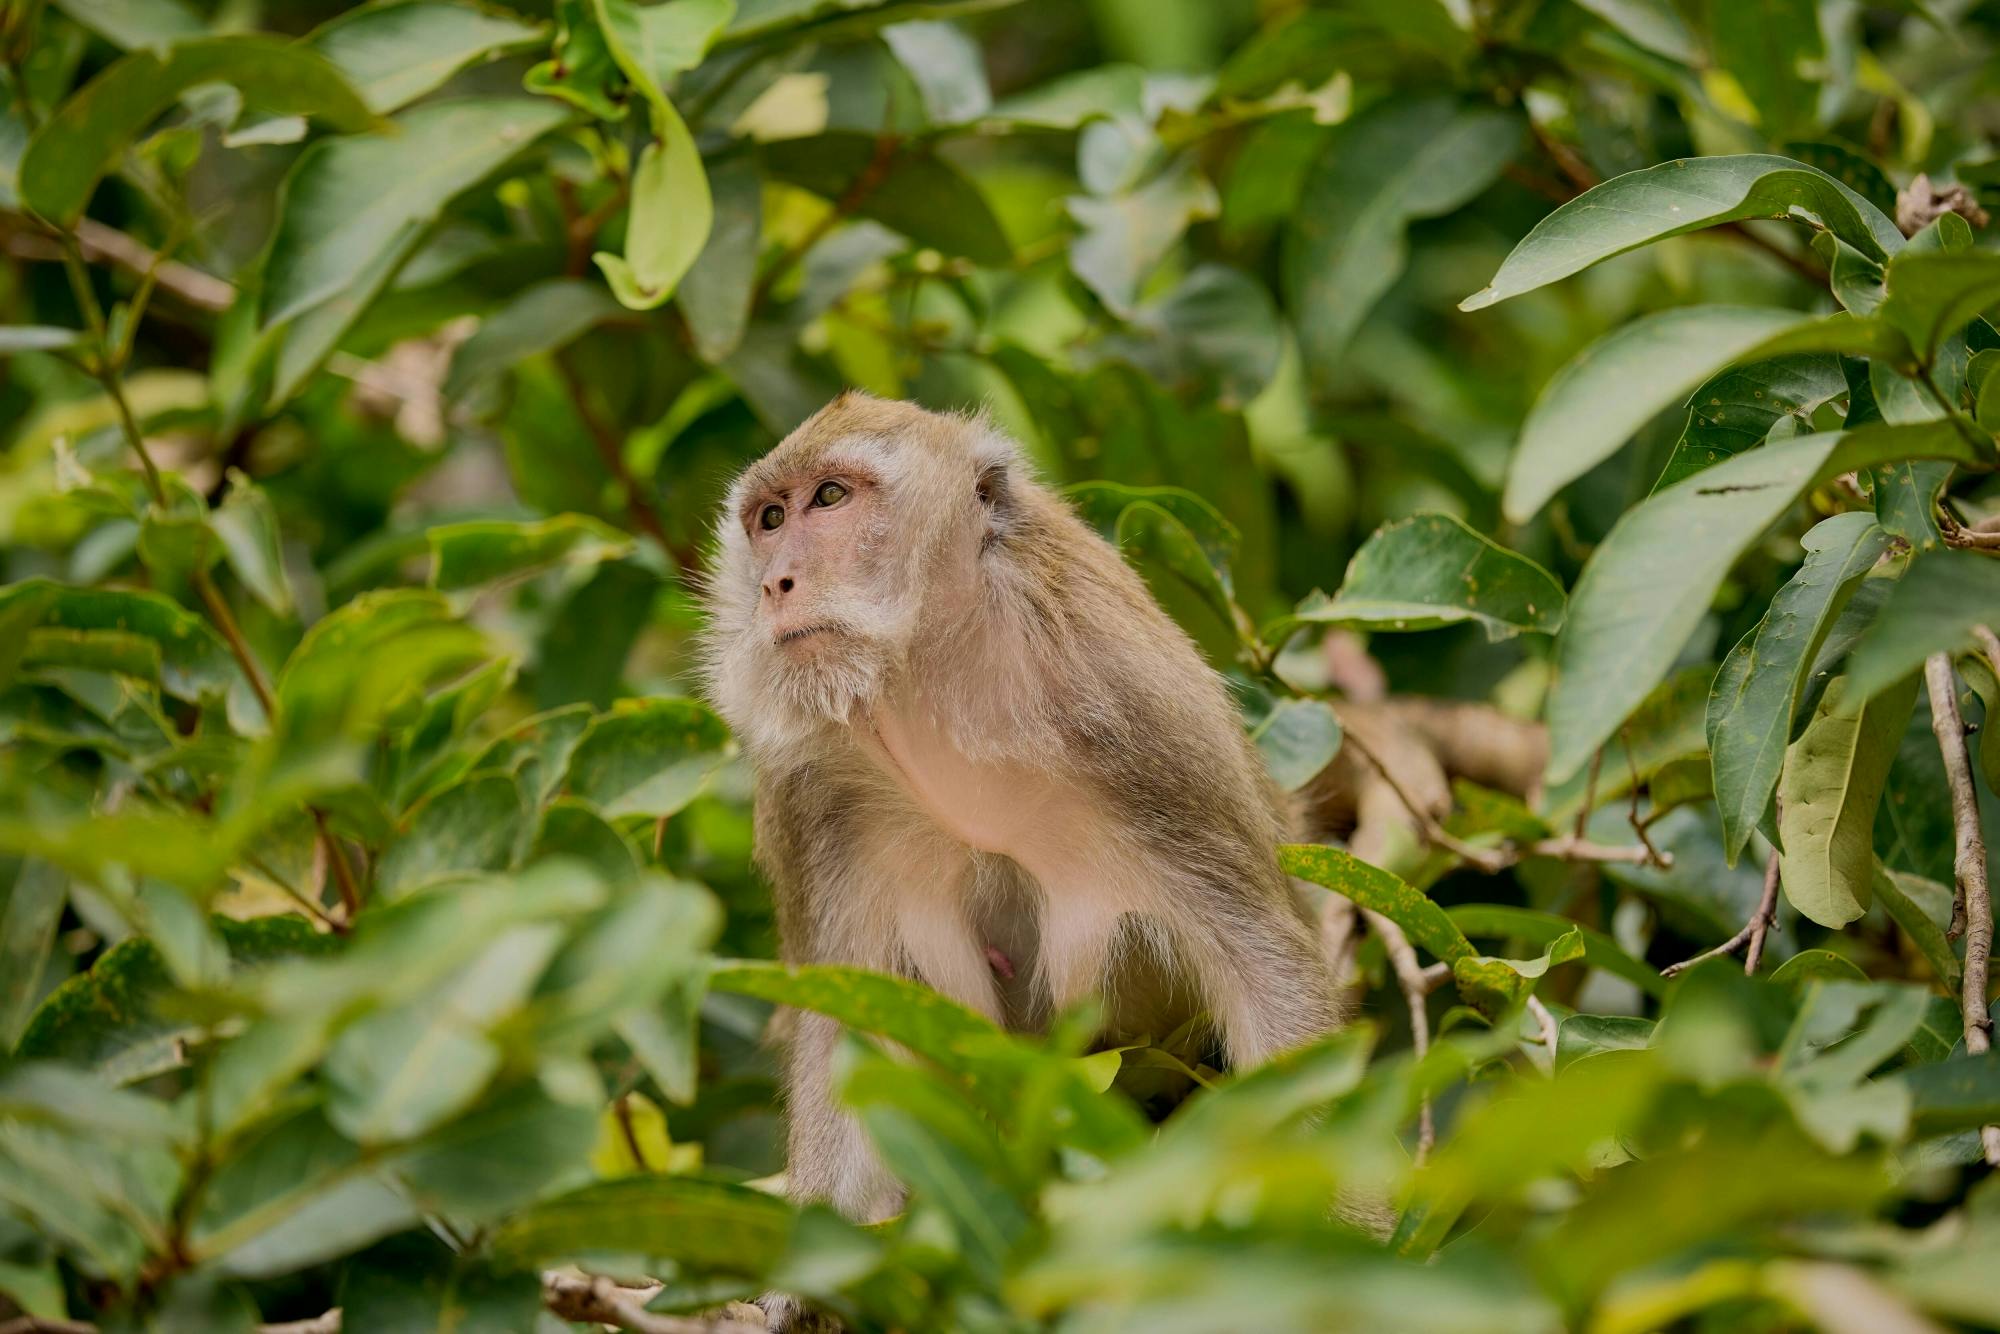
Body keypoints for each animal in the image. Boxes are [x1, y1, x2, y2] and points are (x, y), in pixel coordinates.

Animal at [704, 394, 1344, 1240]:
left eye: (831, 498)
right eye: (770, 518)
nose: (776, 584)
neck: (940, 693)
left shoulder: (1134, 712)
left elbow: (1270, 978)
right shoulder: (806, 797)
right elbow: (840, 1030)